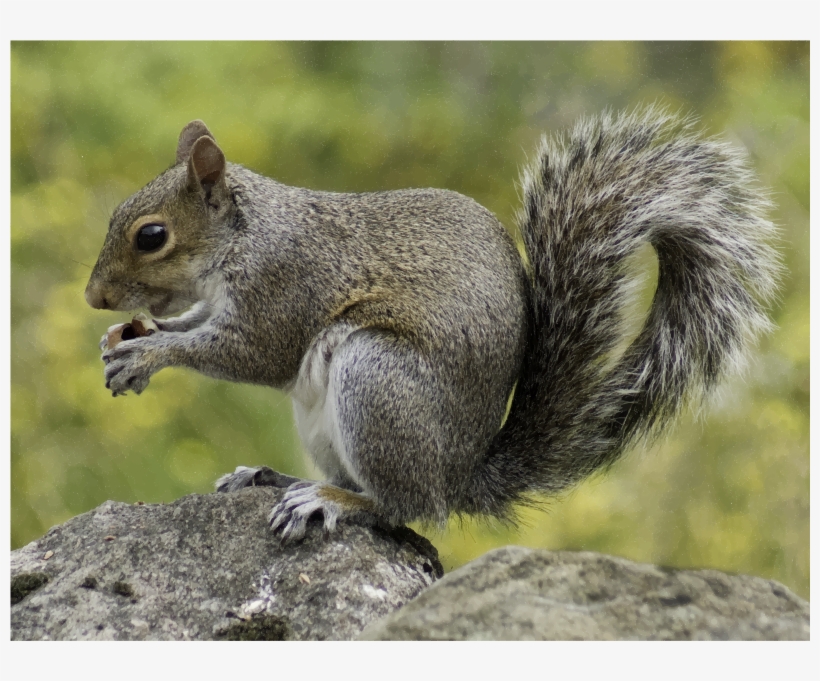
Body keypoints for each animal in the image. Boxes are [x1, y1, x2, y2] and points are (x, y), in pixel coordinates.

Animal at [85, 108, 779, 542]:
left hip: (377, 380)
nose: (94, 298)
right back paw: (276, 477)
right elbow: (199, 322)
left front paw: (147, 355)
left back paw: (330, 501)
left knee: (404, 508)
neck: (246, 236)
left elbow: (250, 353)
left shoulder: (285, 288)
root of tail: (458, 474)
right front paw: (130, 338)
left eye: (151, 236)